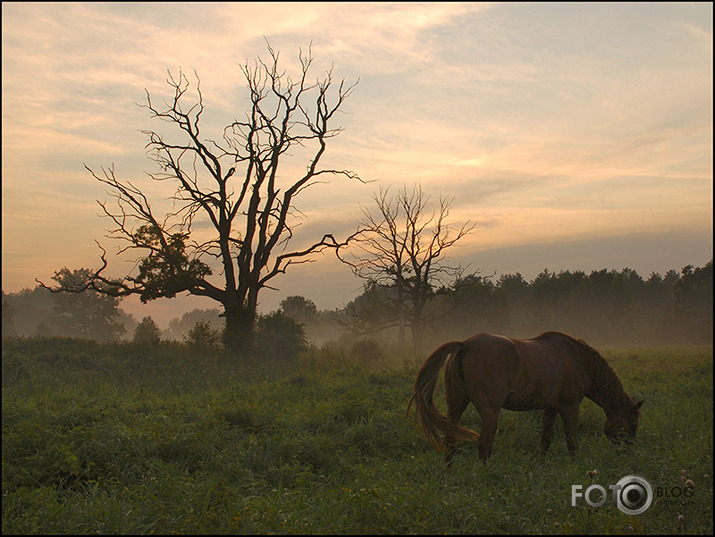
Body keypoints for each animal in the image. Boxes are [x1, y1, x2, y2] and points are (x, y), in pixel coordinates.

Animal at [408, 328, 644, 462]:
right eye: (632, 424)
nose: (628, 450)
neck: (578, 360)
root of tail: (465, 345)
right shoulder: (570, 406)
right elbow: (571, 441)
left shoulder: (550, 408)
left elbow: (545, 441)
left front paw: (541, 465)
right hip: (490, 411)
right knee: (484, 445)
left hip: (456, 406)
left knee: (450, 441)